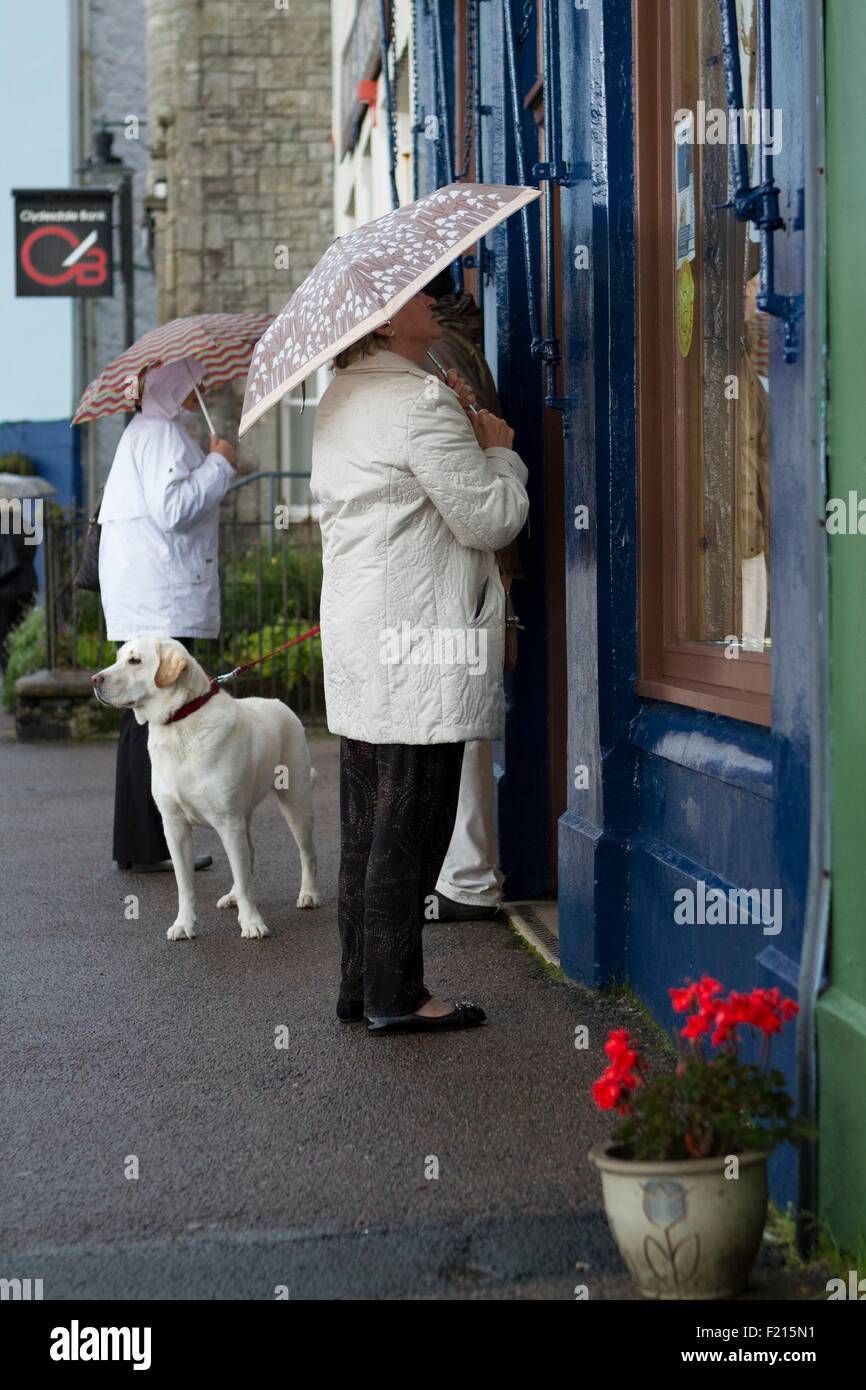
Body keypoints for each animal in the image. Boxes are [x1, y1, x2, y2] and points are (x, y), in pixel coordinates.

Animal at [92, 636, 322, 939]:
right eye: (118, 657)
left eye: (135, 660)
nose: (94, 679)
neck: (180, 721)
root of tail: (280, 704)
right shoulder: (175, 826)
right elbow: (185, 884)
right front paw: (183, 924)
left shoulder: (227, 822)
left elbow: (244, 879)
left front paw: (252, 922)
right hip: (244, 813)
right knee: (248, 855)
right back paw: (233, 896)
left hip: (295, 801)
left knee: (306, 852)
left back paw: (308, 894)